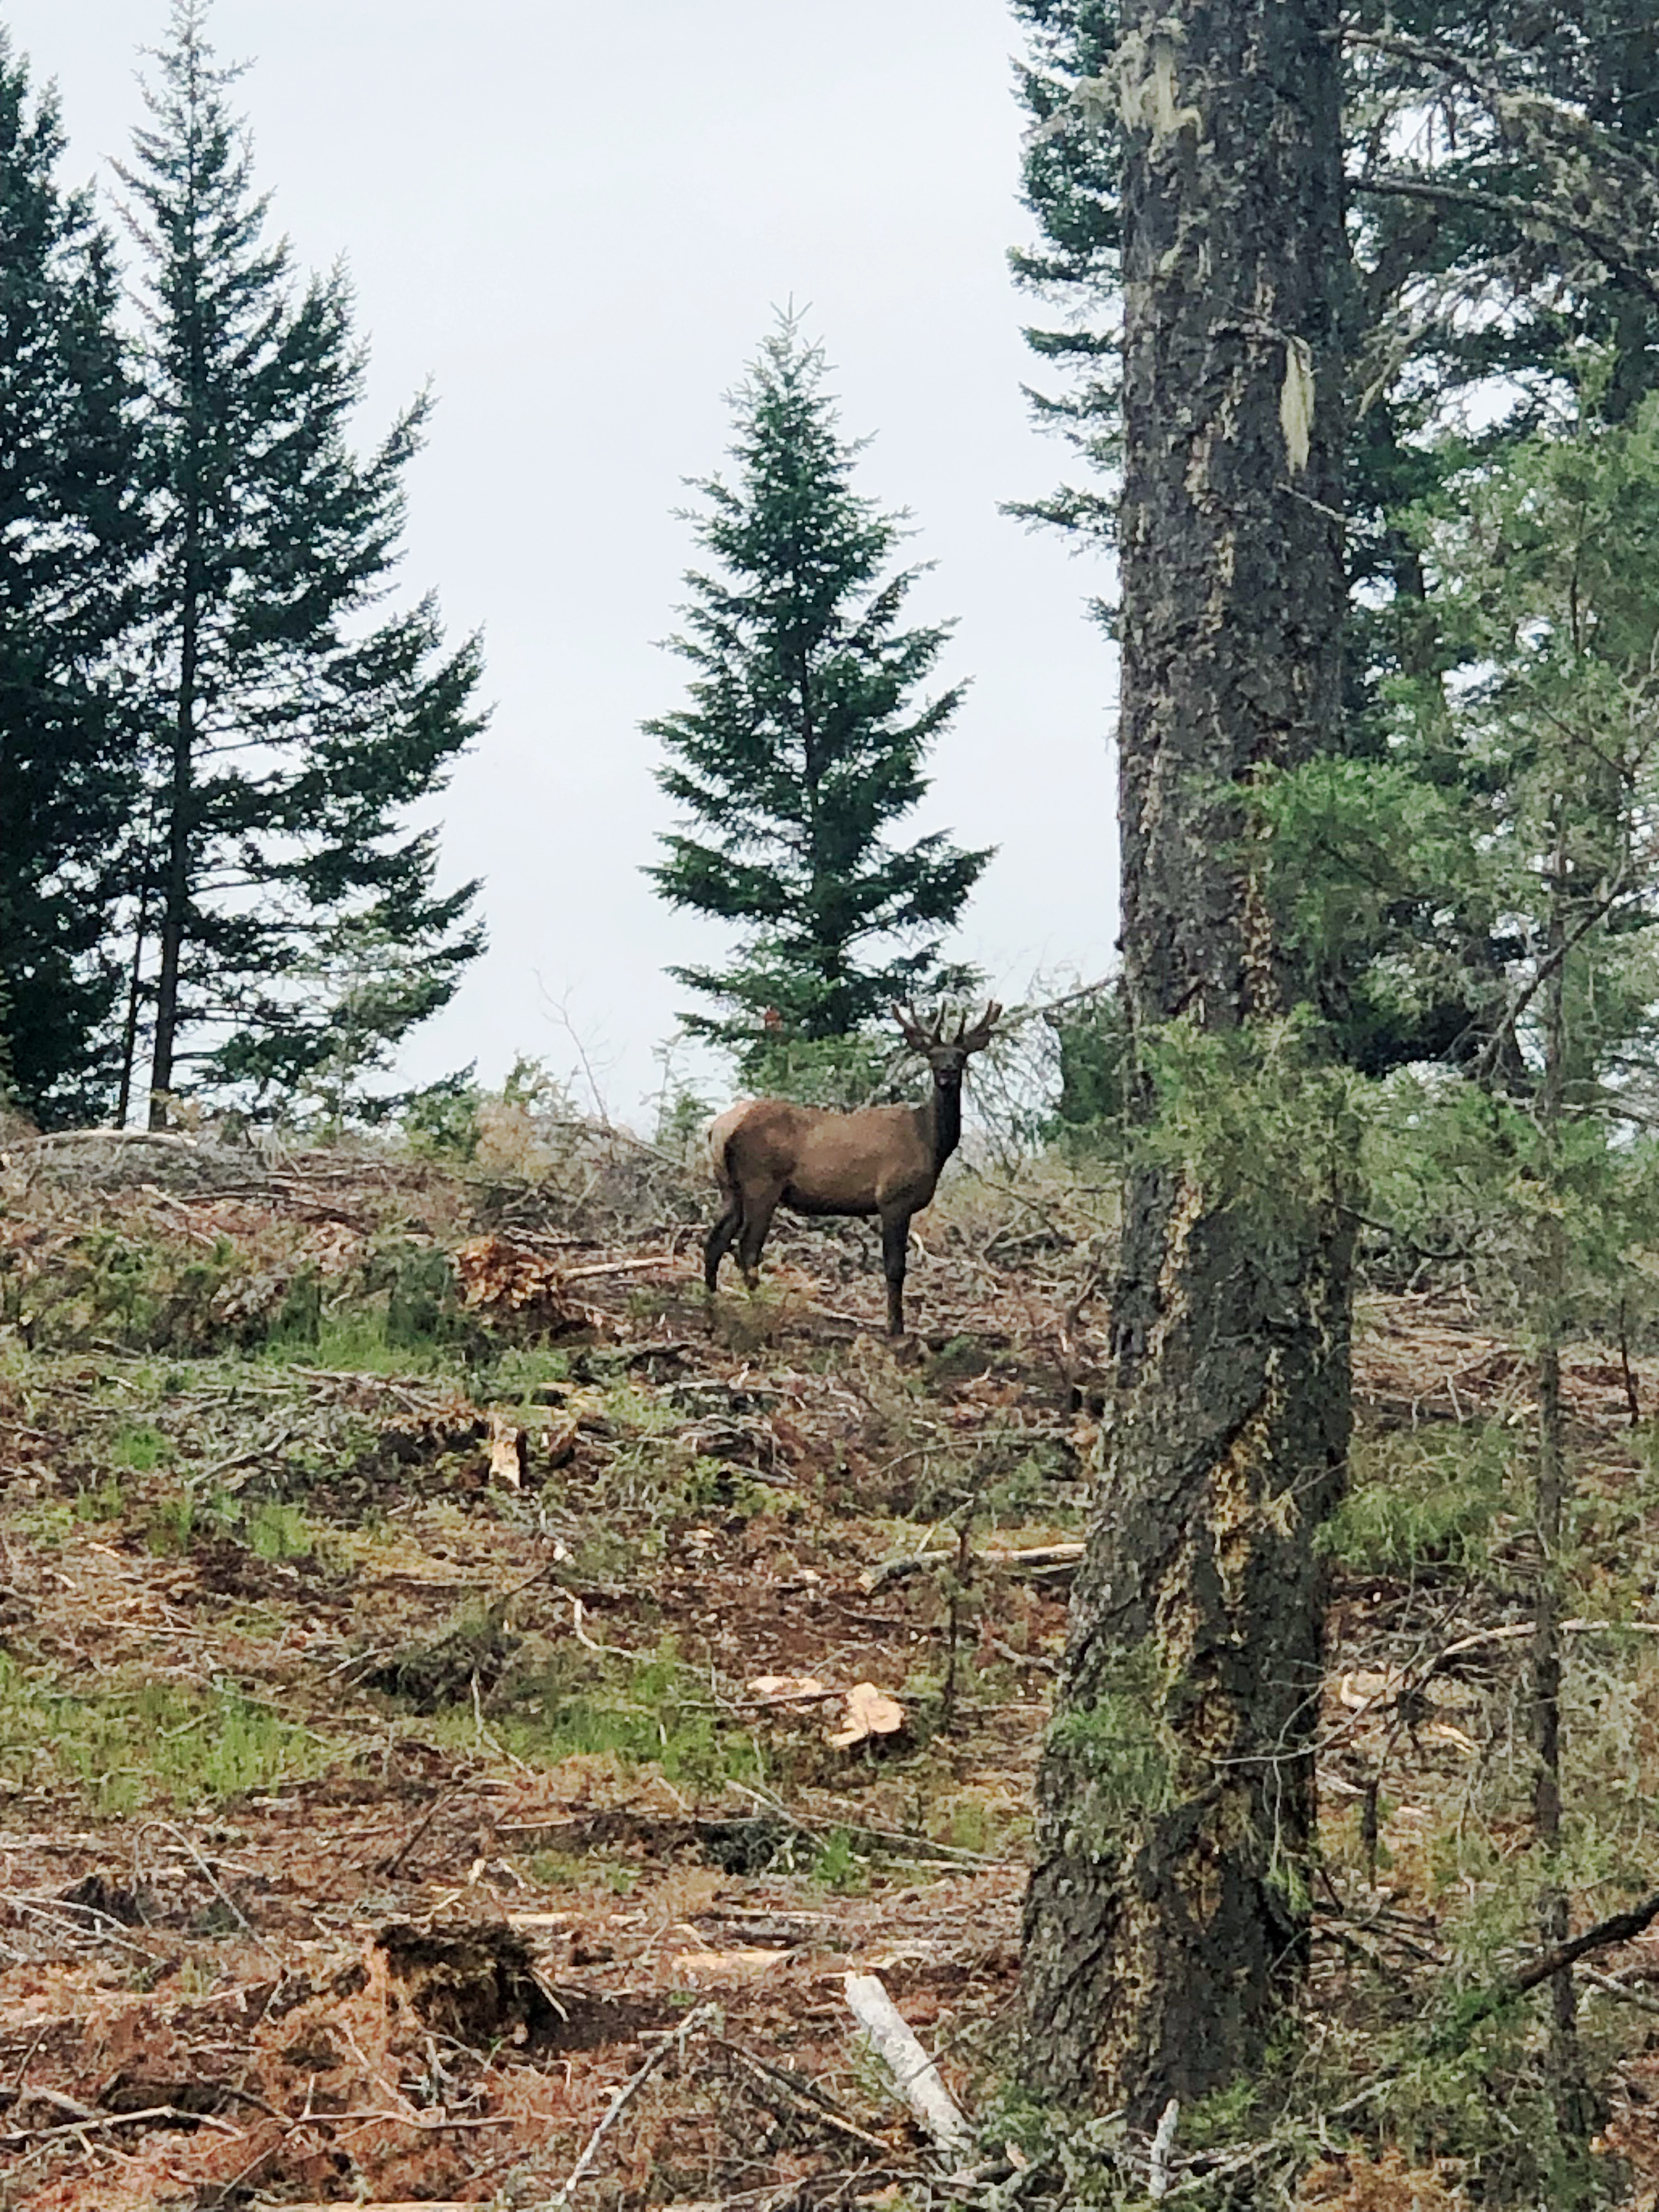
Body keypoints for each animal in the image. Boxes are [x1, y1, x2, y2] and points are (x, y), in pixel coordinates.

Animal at [703, 1001, 1002, 1338]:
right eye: (932, 1055)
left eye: (961, 1055)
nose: (948, 1072)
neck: (930, 1142)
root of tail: (718, 1129)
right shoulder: (893, 1197)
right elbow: (895, 1267)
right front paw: (895, 1329)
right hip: (761, 1182)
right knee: (747, 1249)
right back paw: (759, 1315)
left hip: (729, 1187)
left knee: (715, 1242)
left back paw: (712, 1311)